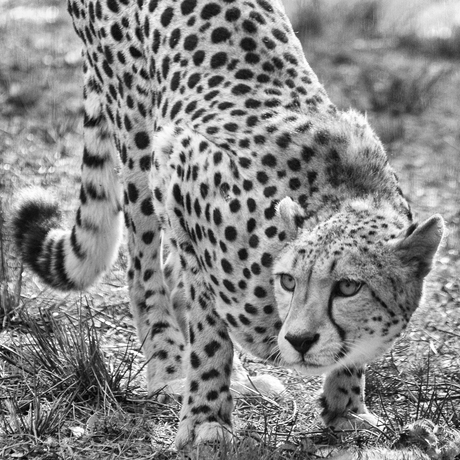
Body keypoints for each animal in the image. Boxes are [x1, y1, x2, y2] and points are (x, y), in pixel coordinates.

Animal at [12, 0, 444, 450]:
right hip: (137, 138)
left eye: (348, 287)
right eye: (289, 281)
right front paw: (205, 417)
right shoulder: (178, 169)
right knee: (146, 271)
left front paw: (347, 408)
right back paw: (170, 370)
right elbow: (209, 330)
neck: (343, 193)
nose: (299, 341)